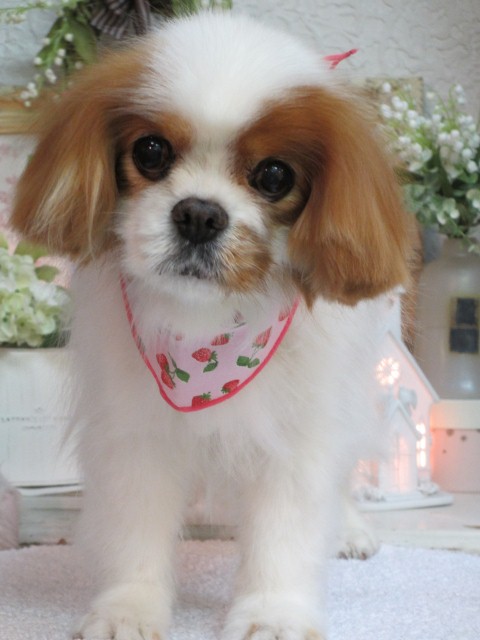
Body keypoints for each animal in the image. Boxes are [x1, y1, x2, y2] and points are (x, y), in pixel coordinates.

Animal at [12, 12, 410, 640]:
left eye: (274, 175)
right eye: (151, 151)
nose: (199, 214)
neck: (209, 326)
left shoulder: (298, 433)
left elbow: (287, 530)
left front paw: (275, 612)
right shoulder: (136, 430)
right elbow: (136, 529)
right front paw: (129, 609)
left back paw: (346, 529)